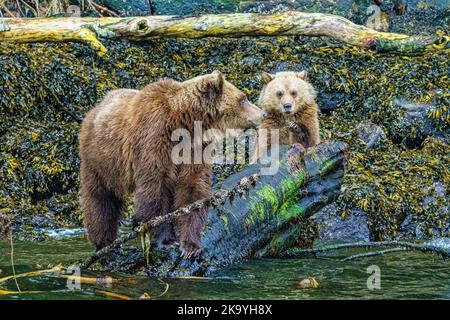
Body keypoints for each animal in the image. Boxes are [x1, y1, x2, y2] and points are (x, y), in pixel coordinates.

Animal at [79, 72, 266, 258]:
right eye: (243, 98)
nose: (263, 114)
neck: (185, 124)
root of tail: (95, 109)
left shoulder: (194, 149)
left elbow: (193, 189)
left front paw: (191, 246)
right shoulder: (154, 139)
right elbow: (155, 189)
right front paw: (164, 240)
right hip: (100, 160)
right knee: (100, 199)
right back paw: (104, 243)